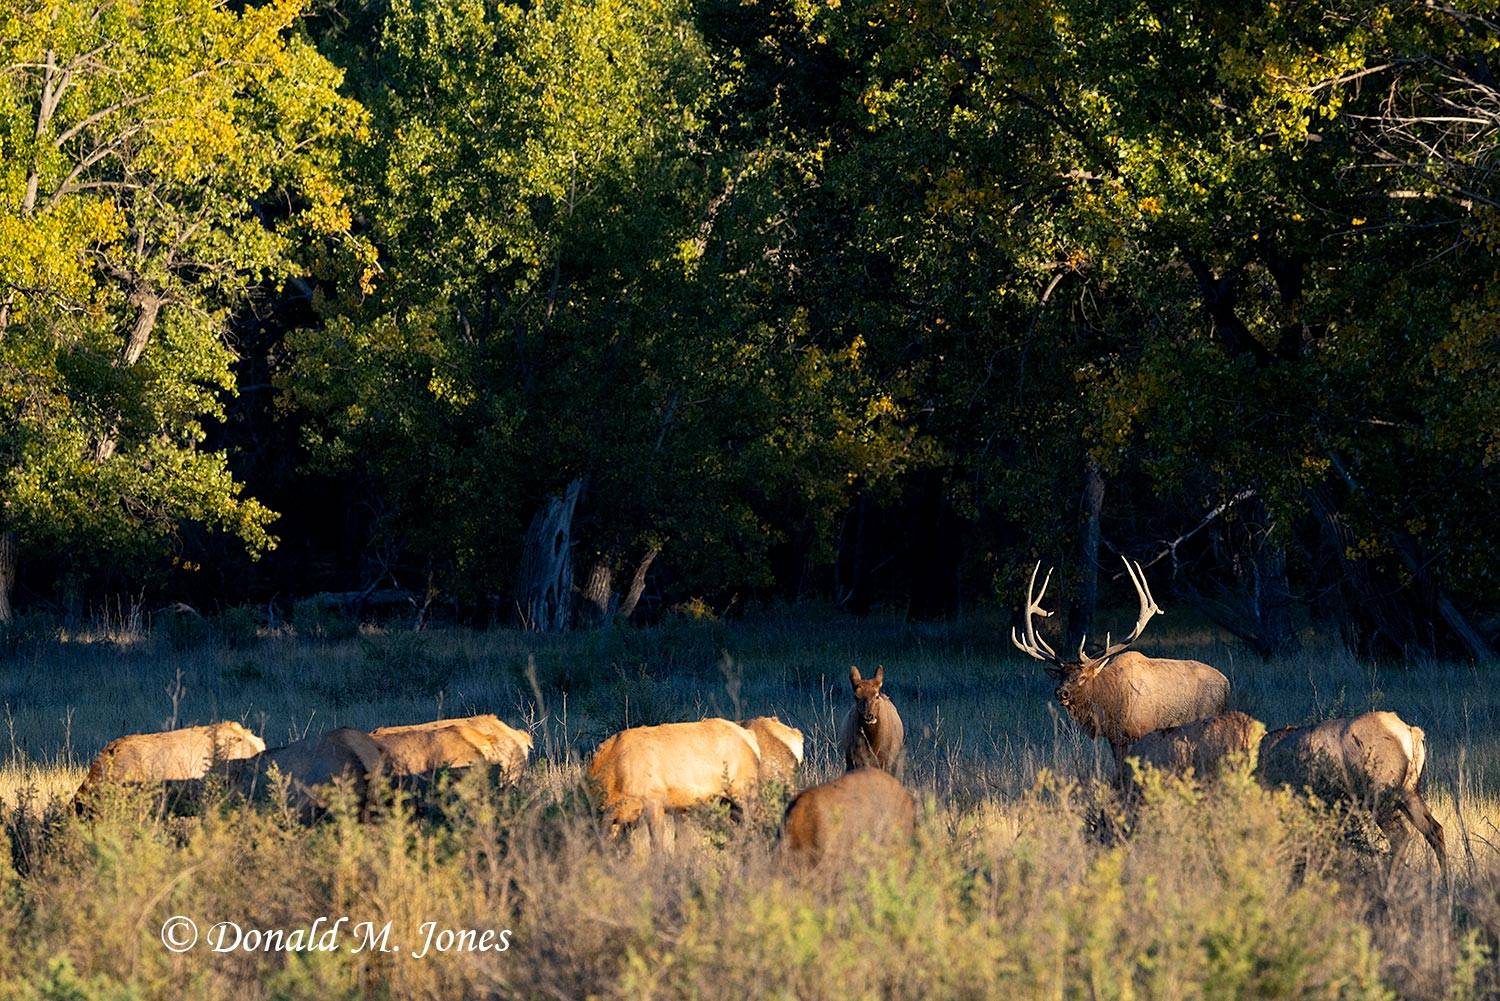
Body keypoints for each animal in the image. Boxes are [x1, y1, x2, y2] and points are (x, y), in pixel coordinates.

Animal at [1008, 561, 1230, 780]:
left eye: (1082, 676)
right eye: (1061, 676)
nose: (1061, 692)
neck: (1110, 703)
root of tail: (1227, 684)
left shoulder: (1144, 730)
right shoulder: (1115, 737)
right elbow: (1119, 769)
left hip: (1206, 716)